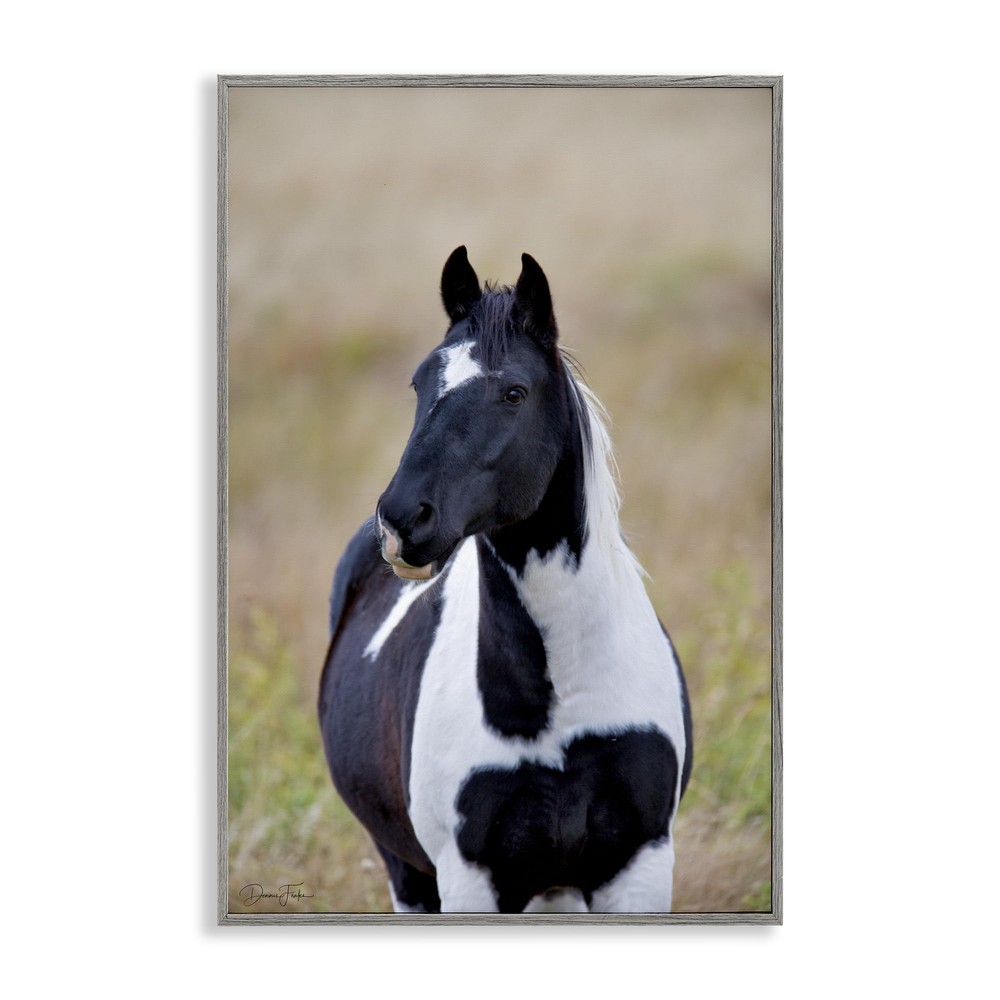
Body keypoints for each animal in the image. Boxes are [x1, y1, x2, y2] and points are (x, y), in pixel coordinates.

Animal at [318, 247, 692, 914]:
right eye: (420, 384)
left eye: (515, 392)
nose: (401, 520)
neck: (558, 705)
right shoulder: (472, 878)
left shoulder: (639, 866)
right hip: (409, 874)